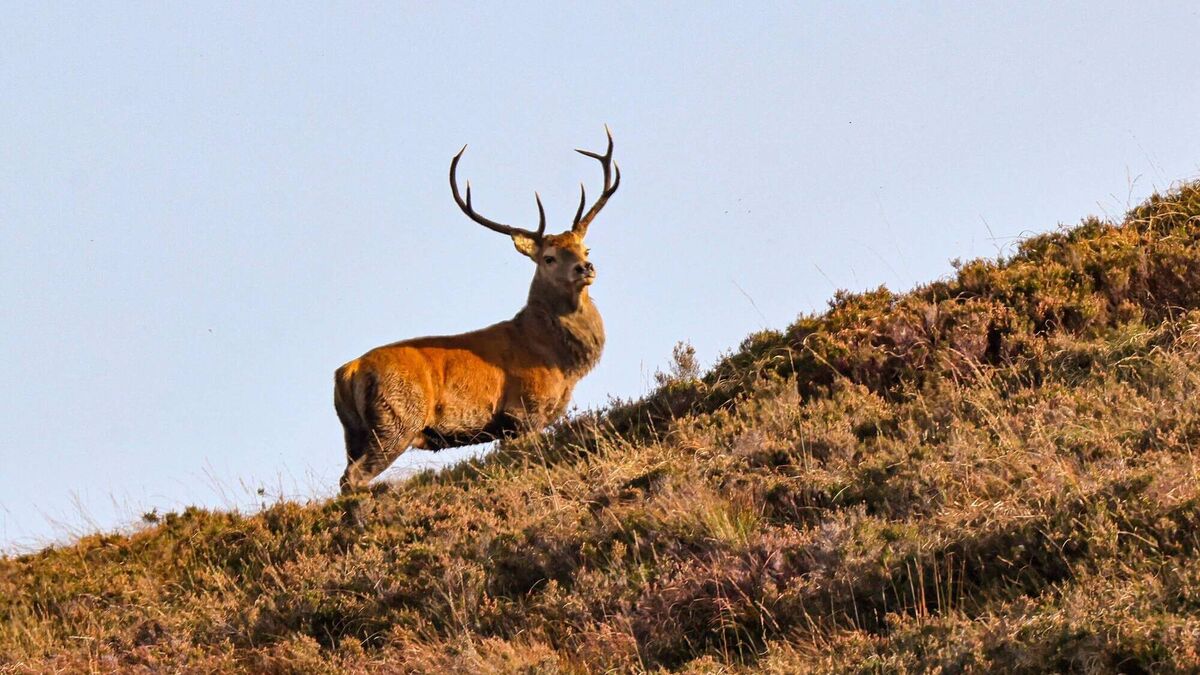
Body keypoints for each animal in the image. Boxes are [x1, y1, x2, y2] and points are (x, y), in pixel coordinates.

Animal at [333, 128, 620, 493]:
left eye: (585, 248)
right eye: (549, 257)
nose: (585, 268)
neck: (559, 361)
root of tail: (347, 372)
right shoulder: (524, 411)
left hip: (353, 433)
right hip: (395, 420)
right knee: (352, 477)